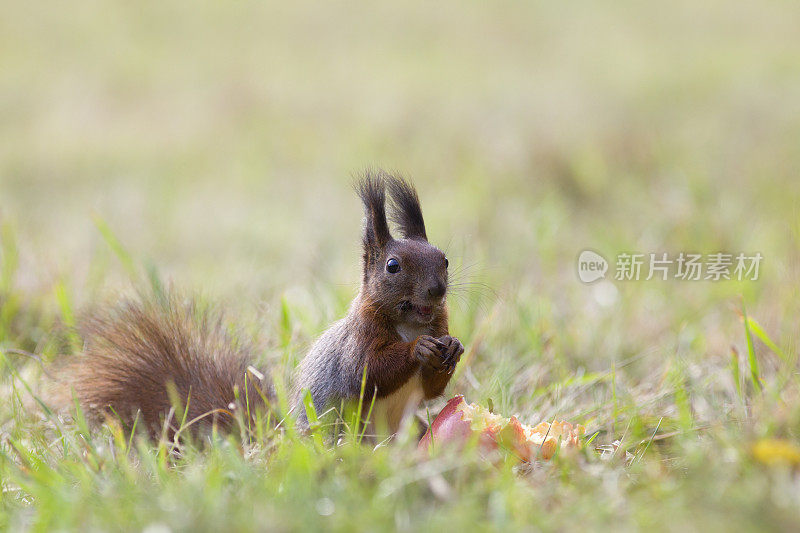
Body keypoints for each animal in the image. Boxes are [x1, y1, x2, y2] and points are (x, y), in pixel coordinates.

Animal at [64, 170, 462, 436]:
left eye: (444, 259)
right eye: (392, 266)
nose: (437, 290)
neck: (408, 322)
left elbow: (431, 390)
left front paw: (453, 348)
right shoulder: (360, 338)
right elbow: (369, 373)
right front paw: (418, 348)